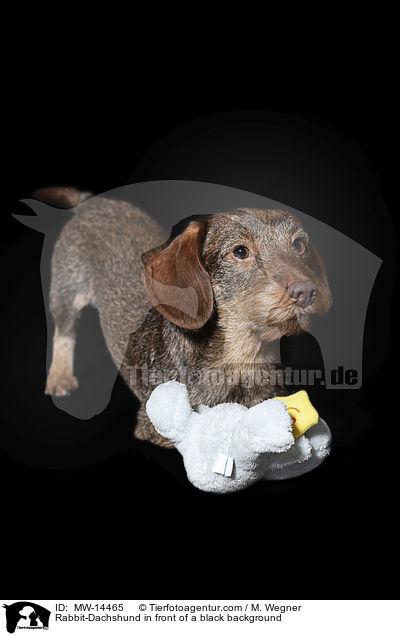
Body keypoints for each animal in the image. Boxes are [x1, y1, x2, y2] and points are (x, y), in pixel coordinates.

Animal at [42, 188, 332, 448]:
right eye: (240, 252)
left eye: (298, 244)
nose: (306, 291)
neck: (244, 357)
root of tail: (94, 203)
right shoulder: (156, 428)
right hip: (67, 290)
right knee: (63, 332)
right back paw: (60, 377)